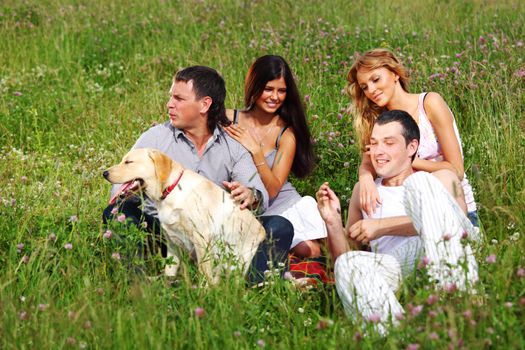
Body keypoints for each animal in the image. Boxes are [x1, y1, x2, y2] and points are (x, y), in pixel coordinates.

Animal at [103, 148, 266, 284]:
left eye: (128, 162)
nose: (104, 173)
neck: (171, 189)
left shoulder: (202, 239)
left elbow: (204, 274)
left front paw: (203, 293)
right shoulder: (172, 242)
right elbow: (169, 270)